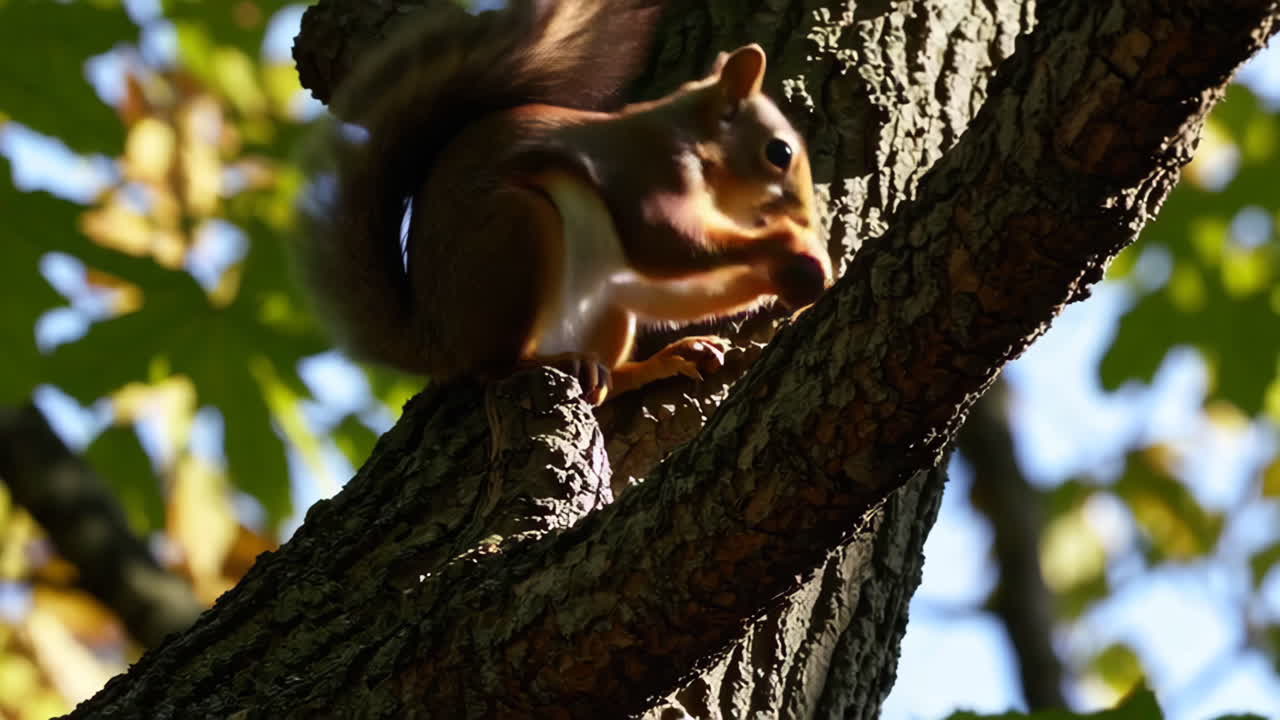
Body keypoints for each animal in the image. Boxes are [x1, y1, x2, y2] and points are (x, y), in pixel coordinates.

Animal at [295, 0, 832, 405]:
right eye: (779, 153)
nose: (807, 215)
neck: (689, 135)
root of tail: (438, 340)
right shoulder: (647, 171)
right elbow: (663, 244)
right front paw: (792, 242)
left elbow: (669, 290)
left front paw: (789, 277)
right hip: (515, 233)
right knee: (494, 367)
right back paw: (549, 361)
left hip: (607, 304)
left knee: (610, 370)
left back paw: (656, 362)